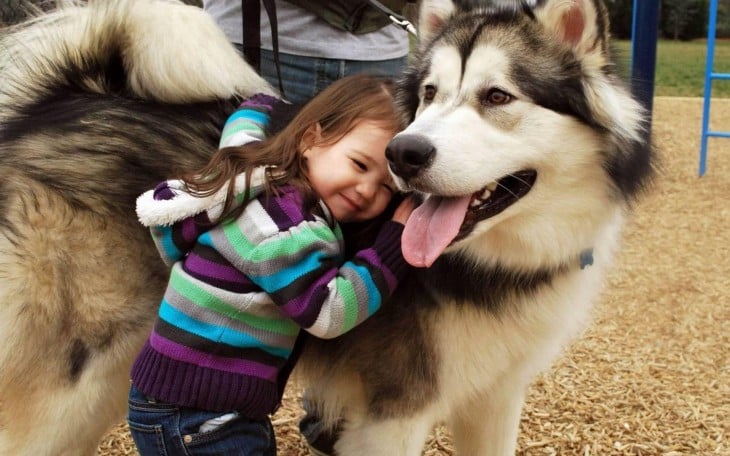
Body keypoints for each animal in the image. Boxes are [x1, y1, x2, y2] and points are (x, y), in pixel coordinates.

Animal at [0, 0, 648, 456]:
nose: (403, 153)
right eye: (430, 94)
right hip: (64, 389)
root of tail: (58, 104)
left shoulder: (495, 397)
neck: (494, 261)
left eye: (497, 96)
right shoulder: (395, 412)